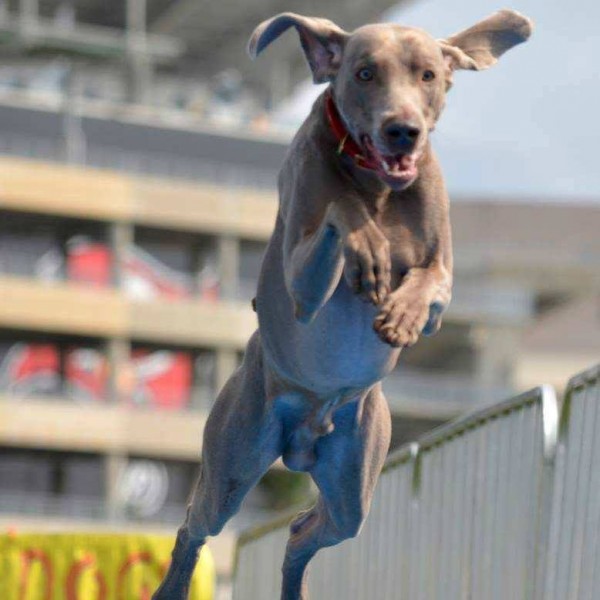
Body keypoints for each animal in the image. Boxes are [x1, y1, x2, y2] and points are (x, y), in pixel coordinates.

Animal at [152, 9, 532, 600]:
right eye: (364, 73)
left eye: (427, 74)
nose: (403, 129)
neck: (378, 183)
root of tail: (303, 439)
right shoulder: (301, 289)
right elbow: (339, 206)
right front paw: (367, 247)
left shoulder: (442, 283)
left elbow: (429, 285)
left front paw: (399, 314)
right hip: (237, 454)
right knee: (198, 520)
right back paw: (172, 584)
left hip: (354, 473)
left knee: (305, 528)